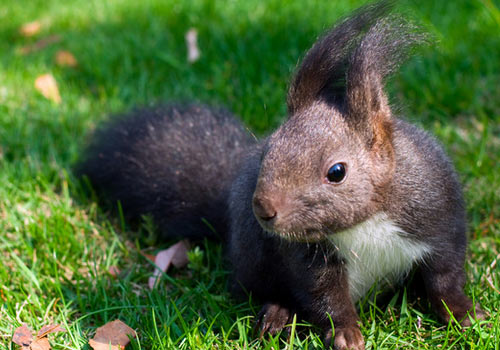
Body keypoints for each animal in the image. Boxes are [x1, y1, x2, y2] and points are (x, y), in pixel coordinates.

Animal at [78, 1, 484, 348]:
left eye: (337, 171)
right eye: (266, 153)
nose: (263, 209)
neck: (365, 222)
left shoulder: (438, 218)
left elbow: (445, 277)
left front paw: (464, 313)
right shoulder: (310, 258)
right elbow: (326, 297)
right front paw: (346, 333)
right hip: (254, 256)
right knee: (266, 290)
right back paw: (276, 315)